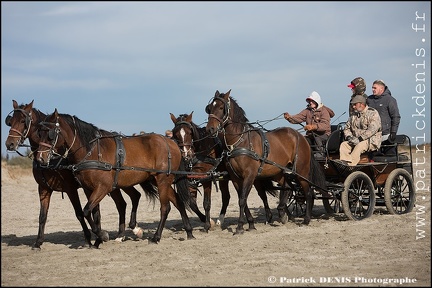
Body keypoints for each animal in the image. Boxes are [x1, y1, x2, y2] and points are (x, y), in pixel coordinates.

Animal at [4, 100, 147, 249]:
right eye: (10, 121)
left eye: (23, 121)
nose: (10, 144)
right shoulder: (43, 188)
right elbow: (42, 216)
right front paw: (38, 242)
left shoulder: (71, 189)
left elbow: (80, 213)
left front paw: (91, 238)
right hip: (118, 184)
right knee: (126, 201)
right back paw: (123, 234)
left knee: (130, 199)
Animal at [35, 108, 194, 243]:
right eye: (39, 133)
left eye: (51, 135)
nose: (40, 159)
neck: (92, 151)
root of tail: (172, 143)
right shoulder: (88, 188)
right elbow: (92, 212)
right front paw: (99, 236)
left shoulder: (103, 187)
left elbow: (86, 211)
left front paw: (101, 234)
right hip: (158, 180)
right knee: (178, 201)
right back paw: (189, 232)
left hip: (162, 180)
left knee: (165, 208)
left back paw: (156, 237)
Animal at [205, 90, 324, 234]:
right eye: (209, 108)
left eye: (221, 108)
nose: (210, 129)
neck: (240, 141)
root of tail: (301, 137)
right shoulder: (235, 178)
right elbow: (242, 199)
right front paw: (250, 224)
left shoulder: (249, 175)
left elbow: (242, 200)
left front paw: (240, 227)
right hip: (280, 172)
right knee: (288, 187)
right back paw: (282, 213)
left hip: (301, 172)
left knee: (308, 193)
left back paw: (306, 219)